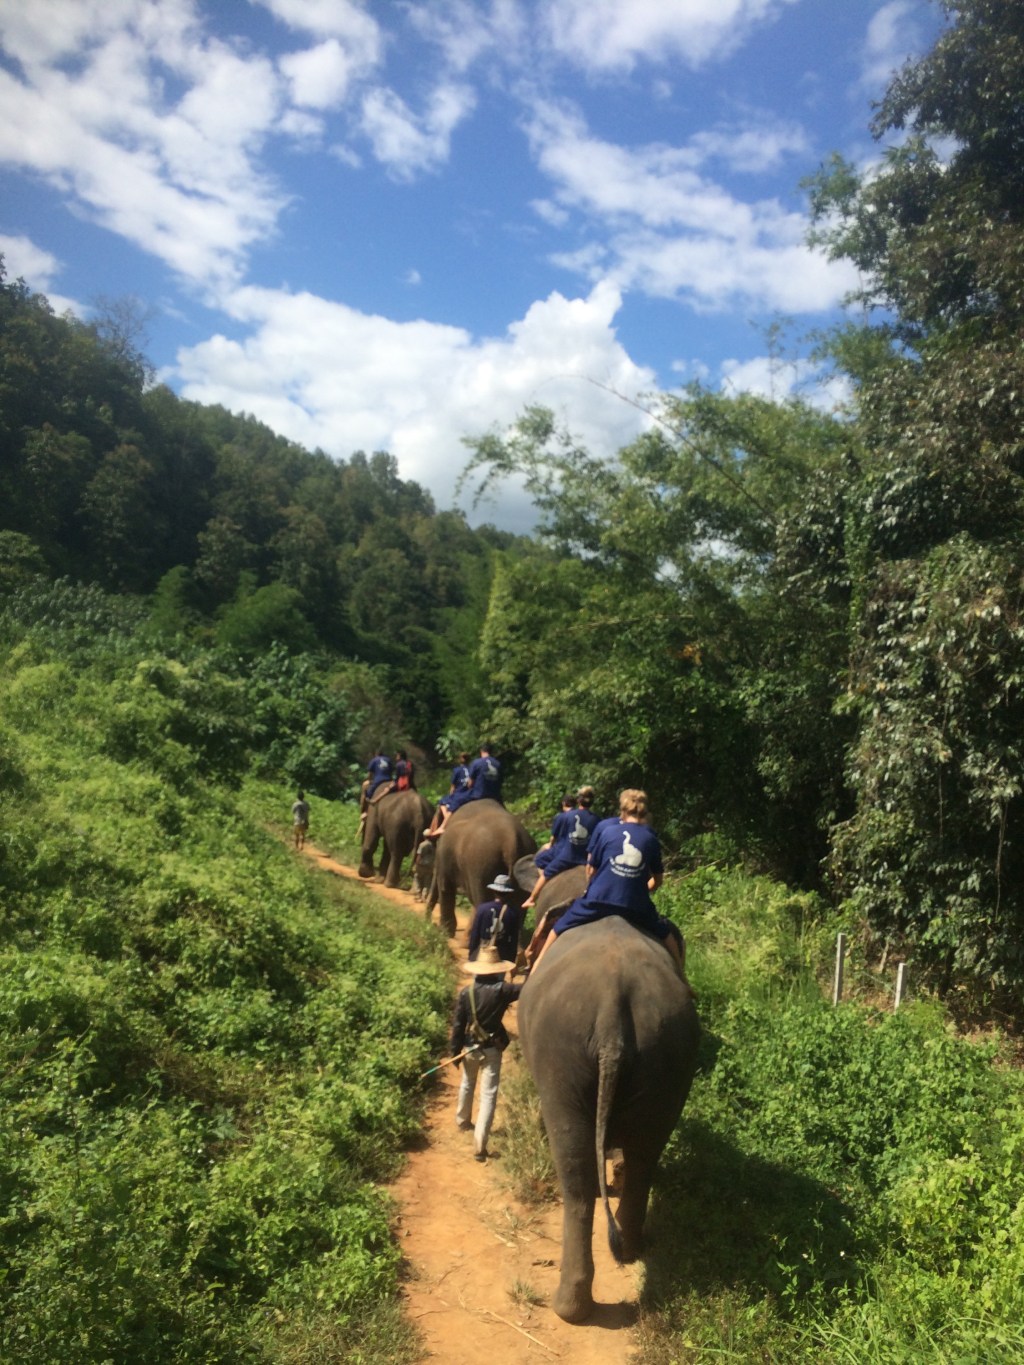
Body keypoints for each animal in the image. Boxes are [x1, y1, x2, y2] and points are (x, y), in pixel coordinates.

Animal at [426, 798, 537, 937]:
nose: (429, 922)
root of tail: (512, 841)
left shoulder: (444, 853)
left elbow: (445, 887)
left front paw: (444, 933)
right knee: (519, 910)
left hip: (482, 866)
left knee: (483, 901)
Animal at [518, 915, 700, 1323]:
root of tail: (611, 1016)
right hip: (668, 1058)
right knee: (646, 1153)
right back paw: (630, 1247)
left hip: (561, 1059)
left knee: (575, 1173)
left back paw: (569, 1308)